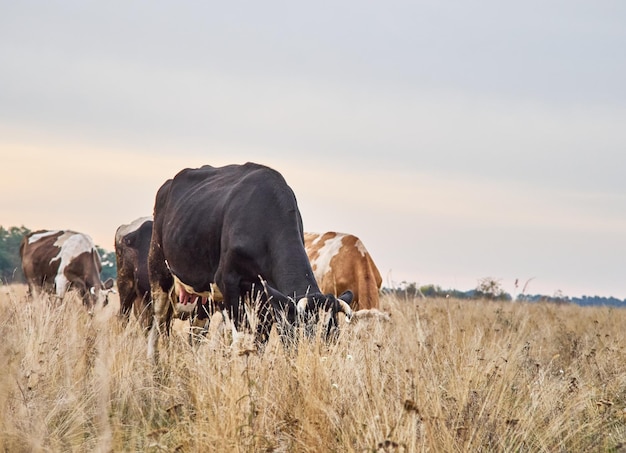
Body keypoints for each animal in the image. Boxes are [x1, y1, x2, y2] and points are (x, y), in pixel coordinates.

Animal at [145, 162, 352, 356]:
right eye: (304, 331)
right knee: (157, 324)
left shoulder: (266, 296)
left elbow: (260, 340)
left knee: (193, 334)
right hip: (159, 272)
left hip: (202, 298)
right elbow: (242, 340)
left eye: (333, 335)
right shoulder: (228, 282)